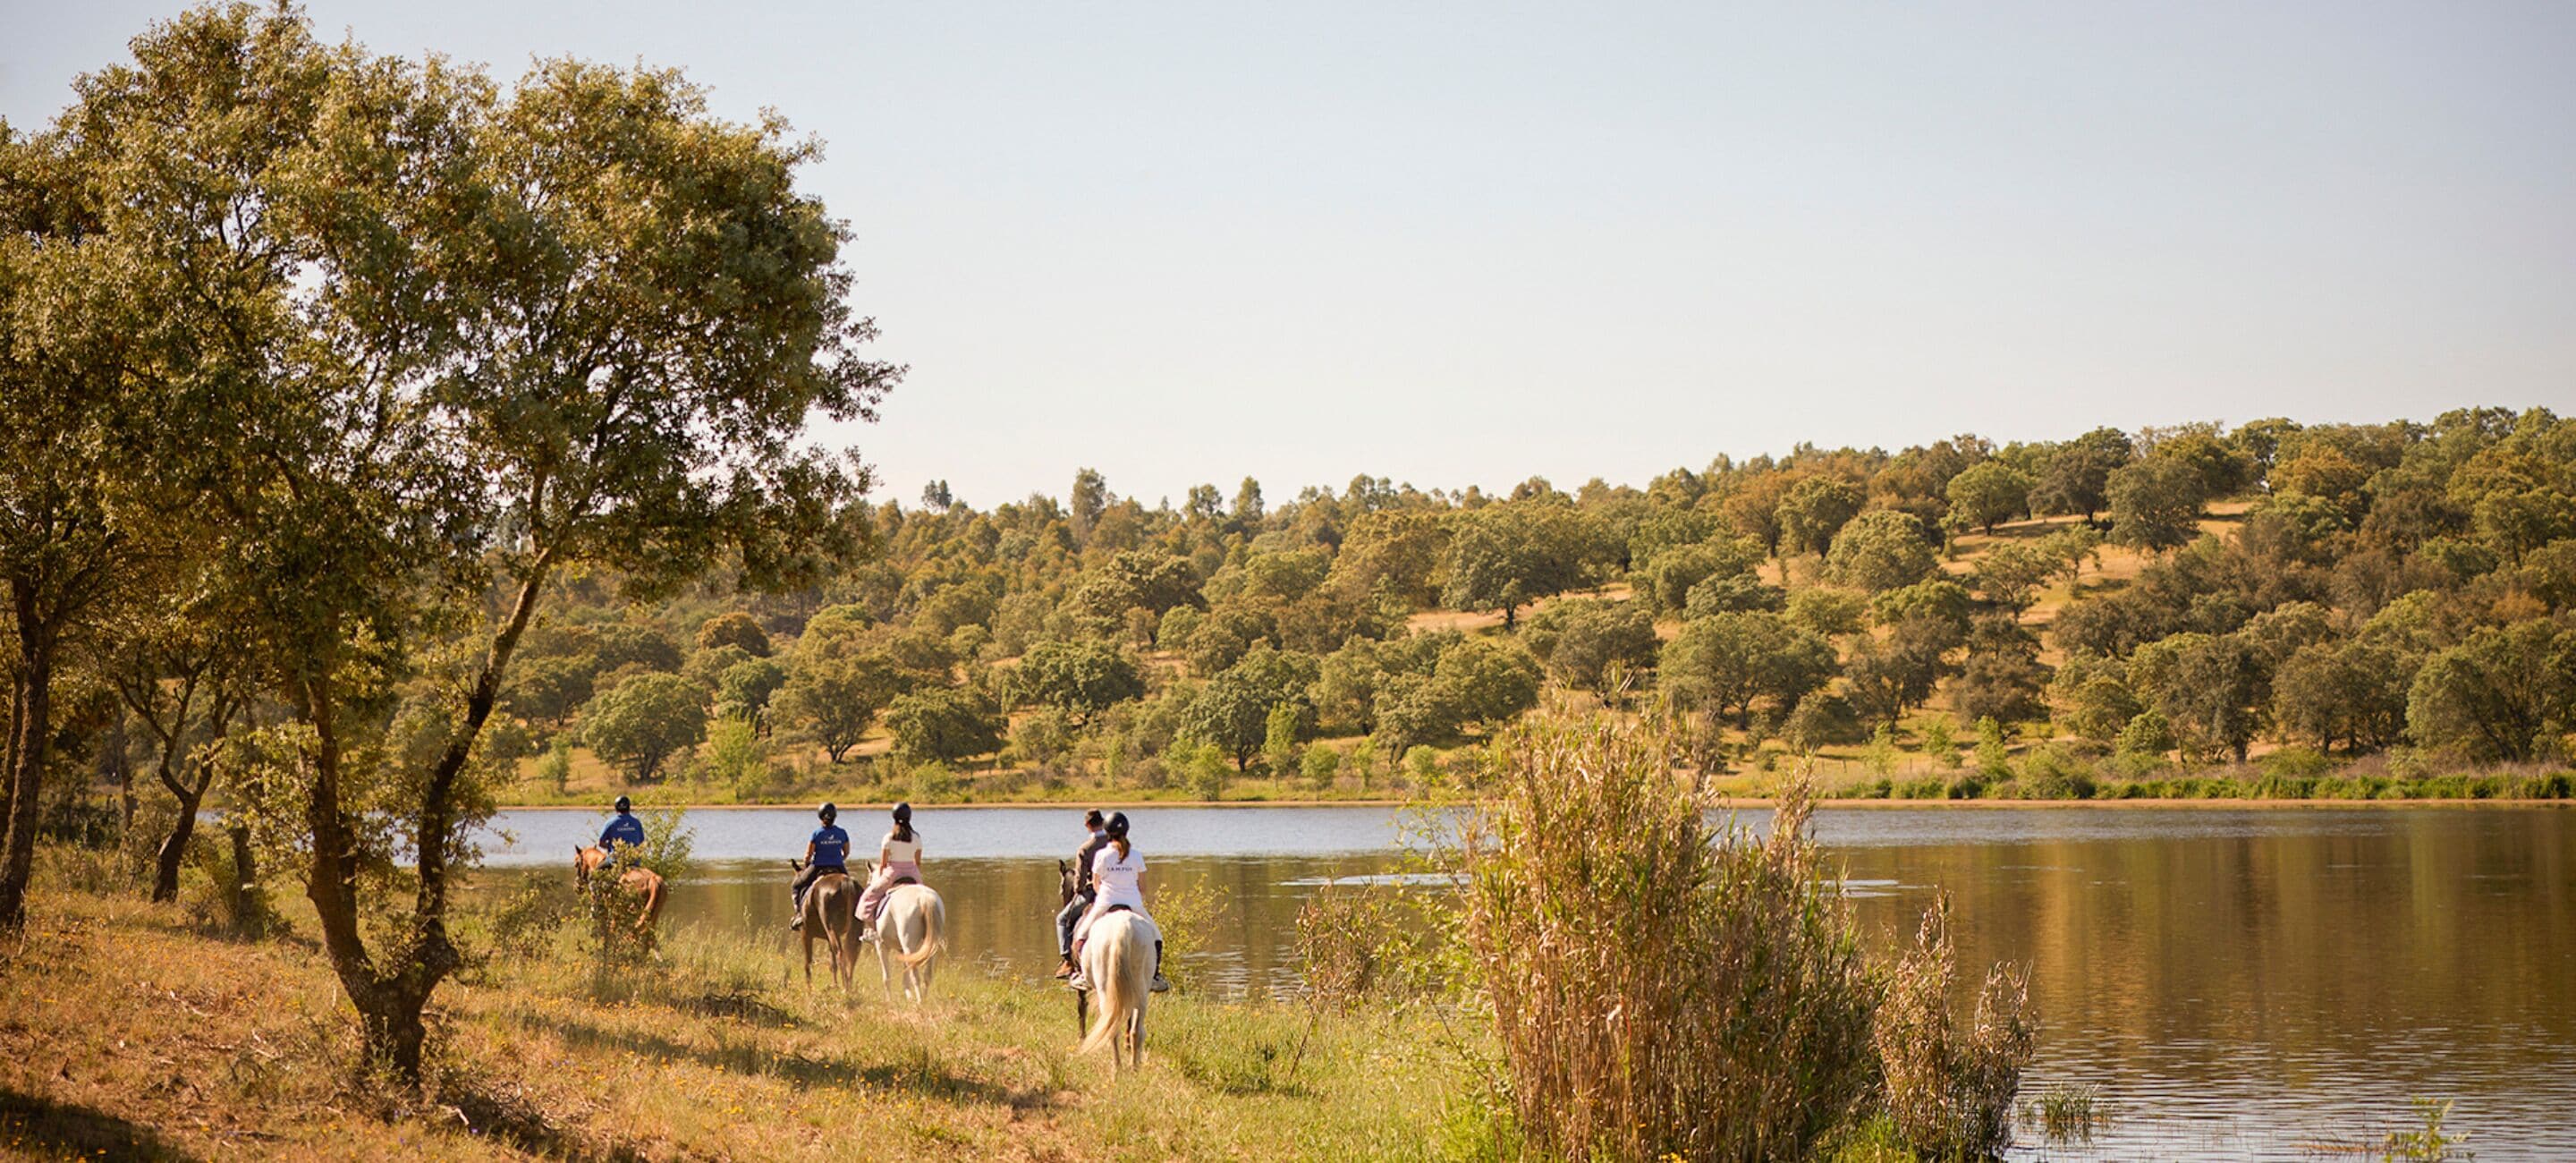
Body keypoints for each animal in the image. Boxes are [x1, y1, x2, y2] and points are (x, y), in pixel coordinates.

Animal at [795, 860, 861, 990]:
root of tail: (846, 883)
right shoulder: (827, 938)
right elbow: (832, 964)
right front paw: (834, 985)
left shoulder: (805, 933)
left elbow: (808, 963)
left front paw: (809, 988)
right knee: (852, 955)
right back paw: (849, 986)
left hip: (832, 929)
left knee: (841, 954)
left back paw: (845, 988)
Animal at [874, 881, 945, 1005]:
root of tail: (925, 897)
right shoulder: (902, 951)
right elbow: (905, 977)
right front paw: (908, 997)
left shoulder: (881, 945)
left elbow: (886, 977)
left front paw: (889, 1000)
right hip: (930, 948)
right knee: (927, 975)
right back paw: (924, 999)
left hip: (909, 947)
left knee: (915, 975)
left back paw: (919, 1001)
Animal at [1075, 909, 1155, 1071]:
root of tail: (1123, 928)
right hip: (1140, 992)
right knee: (1134, 1030)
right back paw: (1132, 1066)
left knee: (1117, 1027)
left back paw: (1118, 1067)